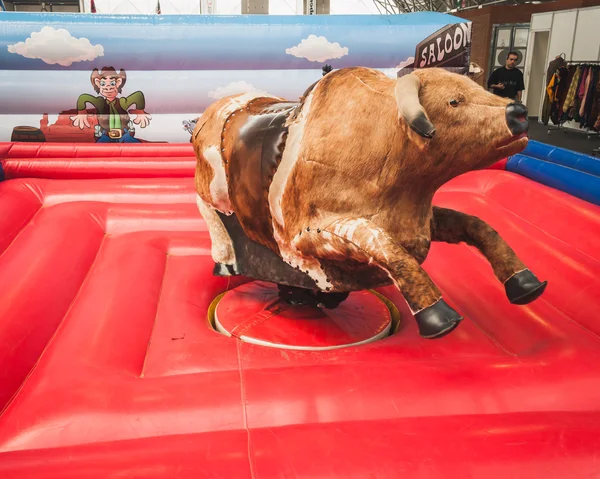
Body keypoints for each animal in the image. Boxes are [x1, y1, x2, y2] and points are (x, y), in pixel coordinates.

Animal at [193, 66, 548, 342]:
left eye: (478, 89)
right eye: (454, 101)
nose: (518, 113)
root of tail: (204, 119)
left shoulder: (422, 221)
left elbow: (478, 226)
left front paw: (526, 283)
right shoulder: (312, 234)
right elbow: (387, 250)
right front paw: (438, 317)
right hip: (210, 200)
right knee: (219, 228)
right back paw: (227, 262)